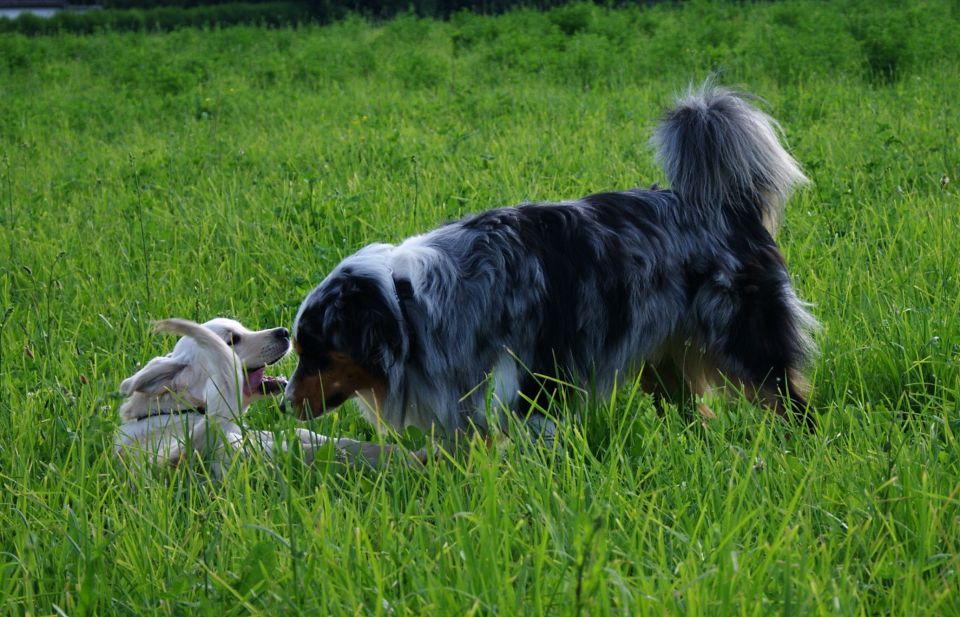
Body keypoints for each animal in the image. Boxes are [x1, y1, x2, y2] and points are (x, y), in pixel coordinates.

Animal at [284, 84, 816, 458]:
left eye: (316, 353)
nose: (285, 403)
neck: (410, 305)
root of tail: (728, 207)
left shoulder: (534, 389)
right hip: (662, 360)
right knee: (698, 414)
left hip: (745, 344)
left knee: (792, 401)